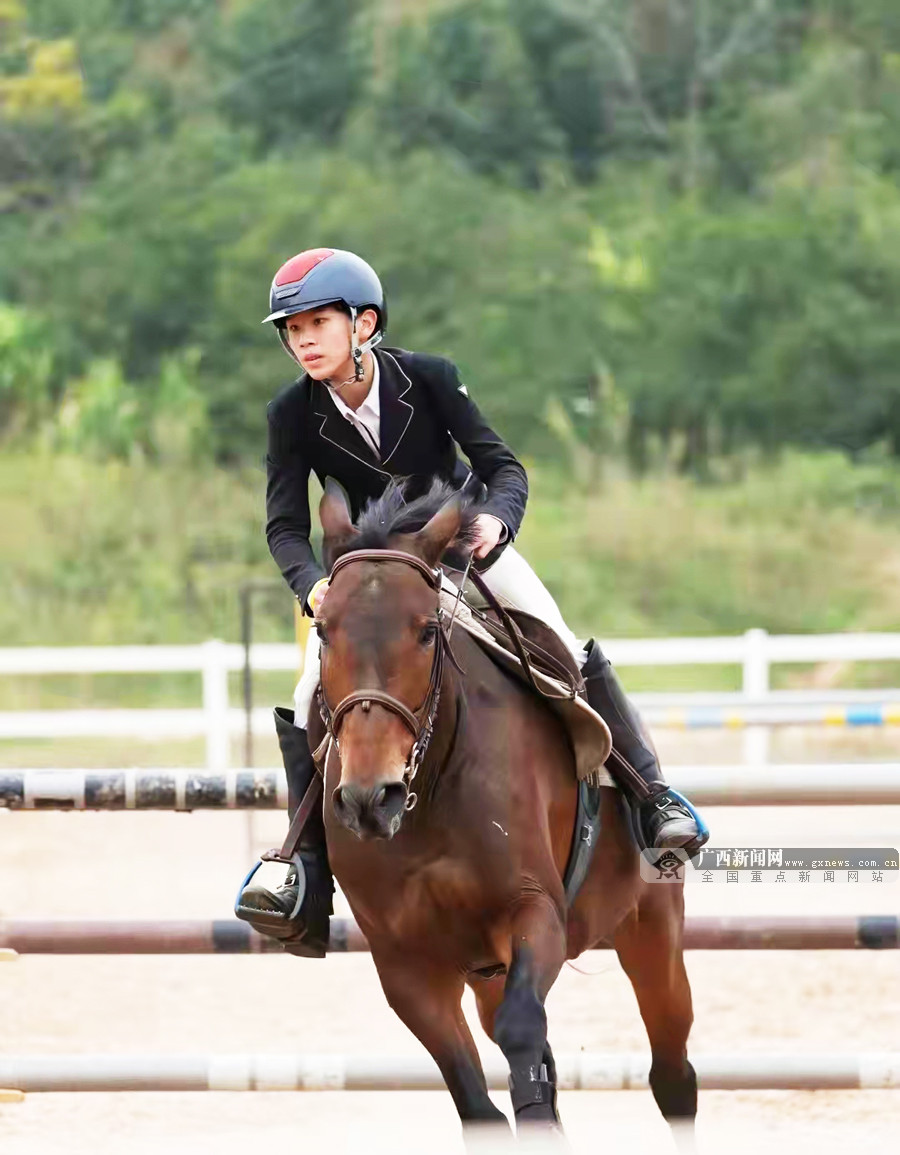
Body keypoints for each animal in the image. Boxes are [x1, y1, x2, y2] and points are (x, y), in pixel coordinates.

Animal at [308, 478, 698, 1144]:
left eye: (426, 632)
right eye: (325, 632)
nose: (369, 799)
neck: (428, 796)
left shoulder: (534, 913)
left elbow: (523, 1035)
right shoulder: (406, 963)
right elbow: (477, 1103)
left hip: (650, 931)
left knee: (672, 1075)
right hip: (483, 969)